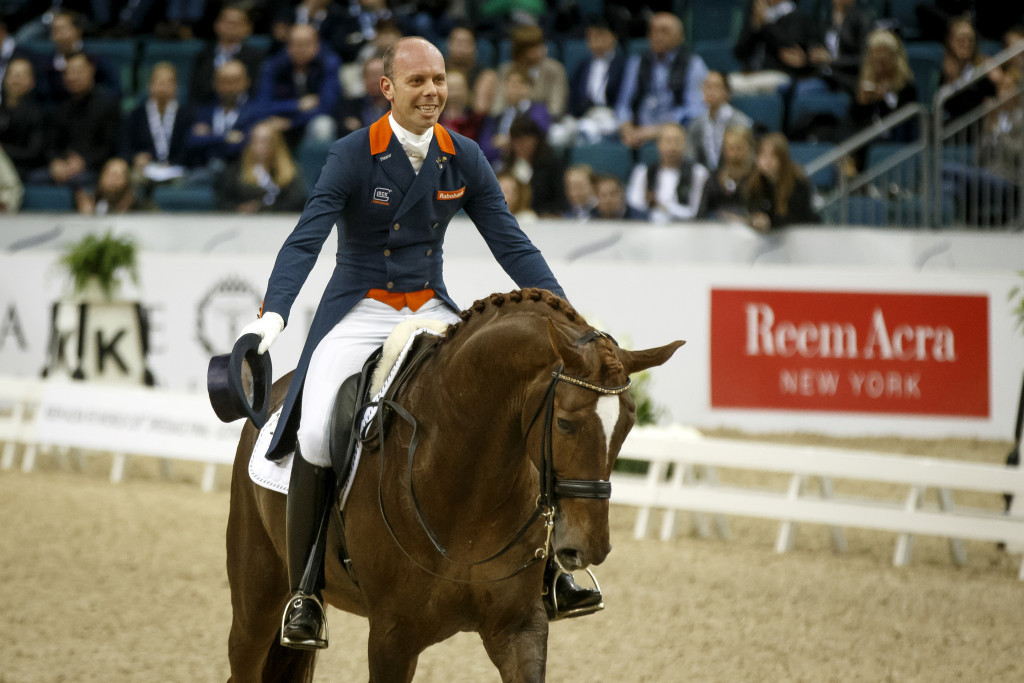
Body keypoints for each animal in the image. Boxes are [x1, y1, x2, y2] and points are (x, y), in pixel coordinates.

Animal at [228, 286, 684, 679]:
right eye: (565, 423)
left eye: (628, 424)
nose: (590, 548)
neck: (468, 490)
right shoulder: (392, 637)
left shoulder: (519, 628)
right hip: (256, 602)